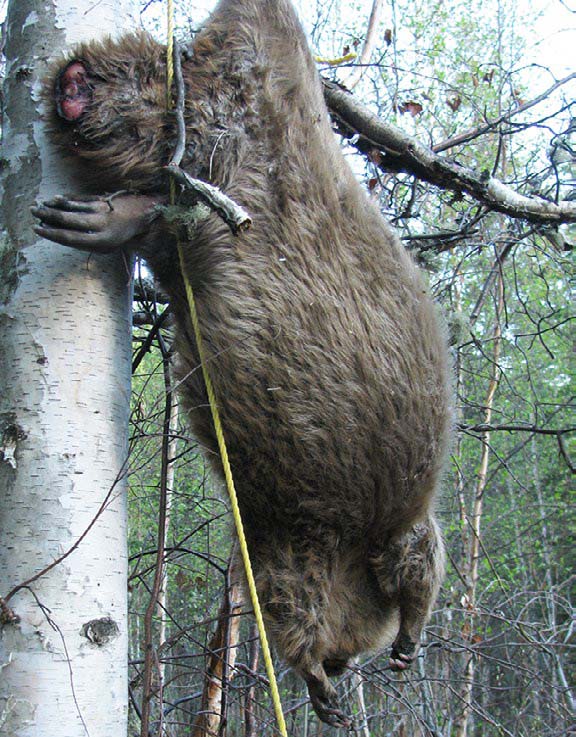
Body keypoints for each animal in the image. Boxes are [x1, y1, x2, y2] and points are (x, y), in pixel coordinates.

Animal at [31, 0, 452, 724]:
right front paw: (350, 669)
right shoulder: (303, 540)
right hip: (235, 117)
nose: (347, 666)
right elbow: (386, 577)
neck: (349, 541)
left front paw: (354, 668)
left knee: (162, 174)